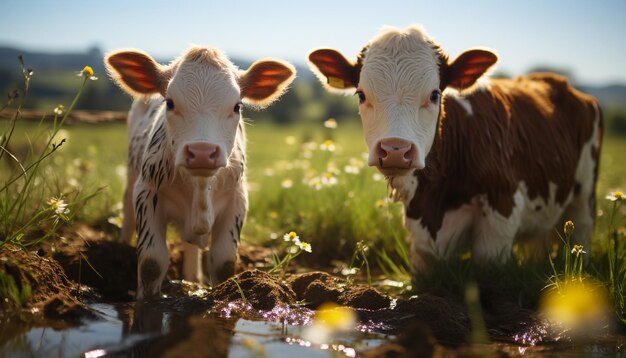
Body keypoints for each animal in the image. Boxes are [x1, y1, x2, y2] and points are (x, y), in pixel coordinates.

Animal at [105, 47, 294, 300]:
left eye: (237, 106)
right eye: (170, 103)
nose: (202, 152)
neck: (201, 187)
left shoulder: (237, 199)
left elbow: (224, 263)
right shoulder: (147, 193)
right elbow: (151, 263)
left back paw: (192, 279)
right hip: (131, 175)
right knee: (127, 213)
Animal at [308, 24, 600, 272]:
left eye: (435, 94)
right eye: (361, 94)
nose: (395, 151)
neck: (435, 193)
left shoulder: (502, 209)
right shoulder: (420, 232)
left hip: (585, 196)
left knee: (582, 230)